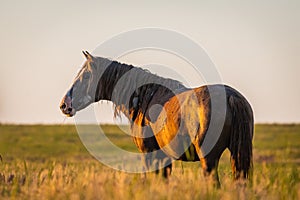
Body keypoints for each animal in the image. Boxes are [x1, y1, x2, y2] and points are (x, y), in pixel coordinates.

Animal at [60, 51, 253, 184]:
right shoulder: (164, 158)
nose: (64, 105)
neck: (144, 97)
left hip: (209, 158)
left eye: (86, 76)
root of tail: (231, 97)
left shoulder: (149, 154)